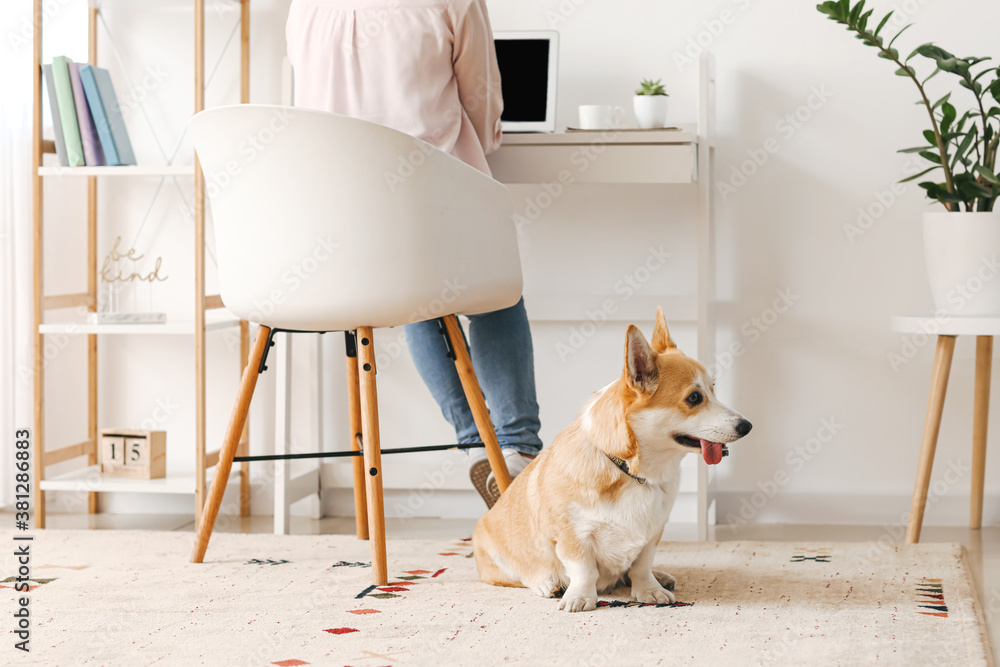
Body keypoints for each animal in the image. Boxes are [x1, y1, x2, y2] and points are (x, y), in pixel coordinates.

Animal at [474, 310, 752, 612]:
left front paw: (649, 590)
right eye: (694, 397)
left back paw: (660, 576)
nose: (747, 426)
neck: (632, 471)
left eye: (713, 390)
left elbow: (642, 565)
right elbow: (583, 569)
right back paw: (547, 583)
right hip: (494, 549)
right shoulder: (574, 535)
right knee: (519, 575)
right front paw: (580, 597)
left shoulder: (652, 533)